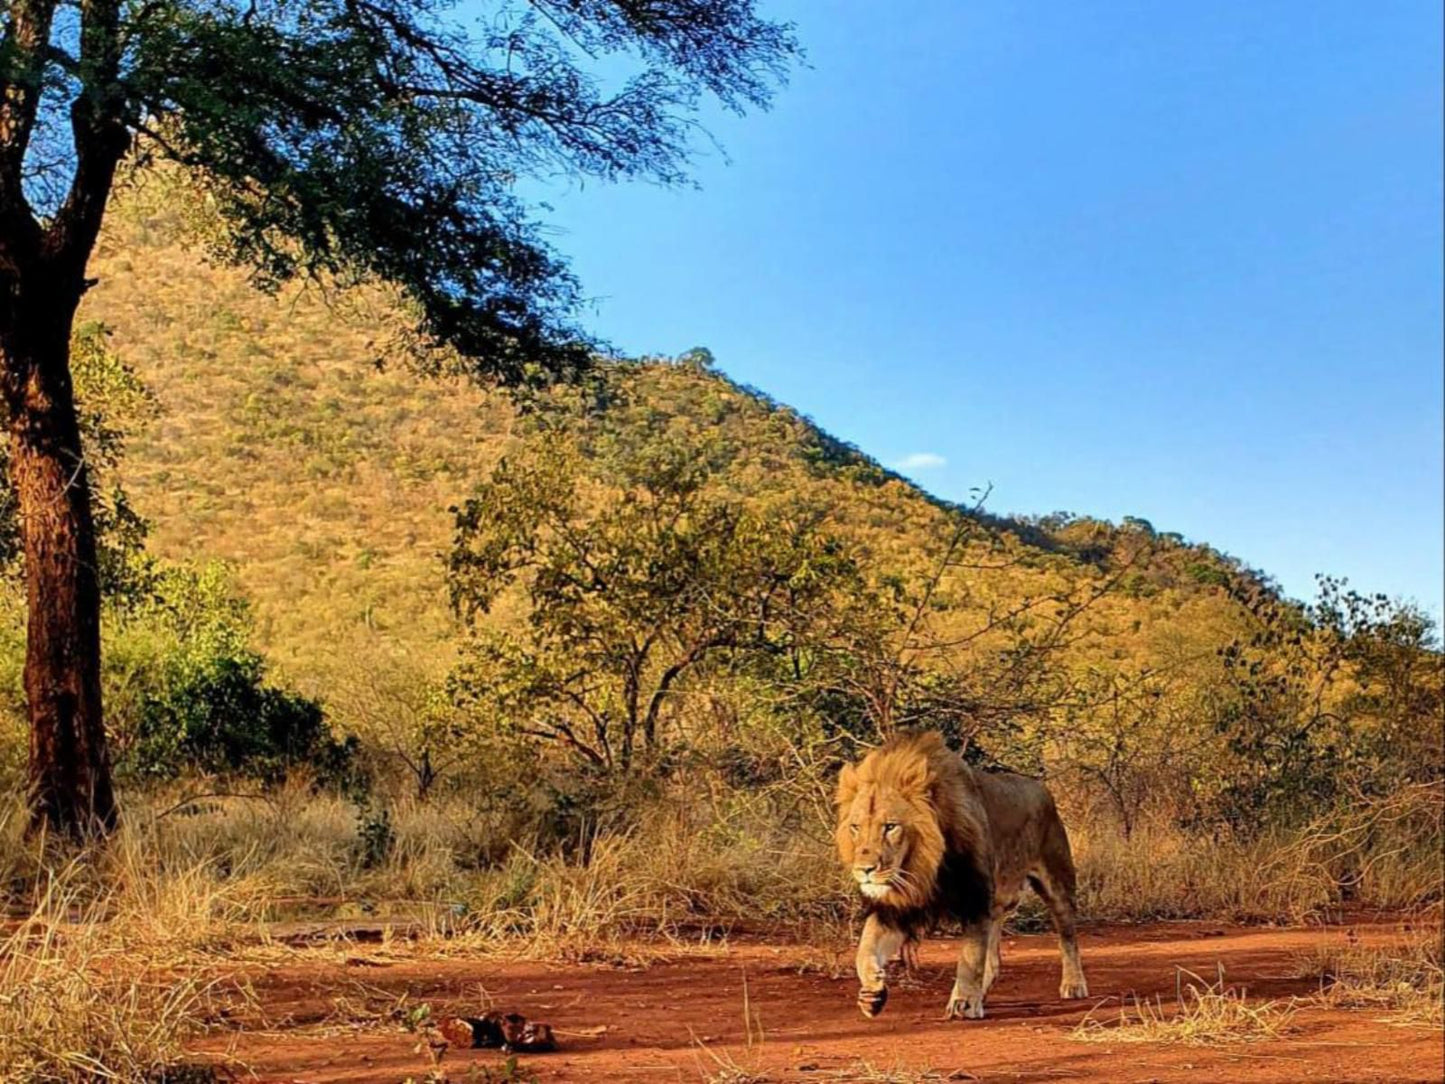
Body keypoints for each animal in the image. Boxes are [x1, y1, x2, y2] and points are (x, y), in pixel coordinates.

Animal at [838, 734, 1086, 1023]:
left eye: (890, 827)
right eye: (855, 827)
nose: (864, 869)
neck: (922, 868)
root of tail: (1041, 787)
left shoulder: (975, 899)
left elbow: (970, 956)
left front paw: (964, 1002)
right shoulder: (897, 908)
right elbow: (864, 949)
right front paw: (872, 992)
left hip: (1057, 883)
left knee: (1068, 936)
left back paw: (1074, 984)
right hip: (996, 904)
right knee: (994, 961)